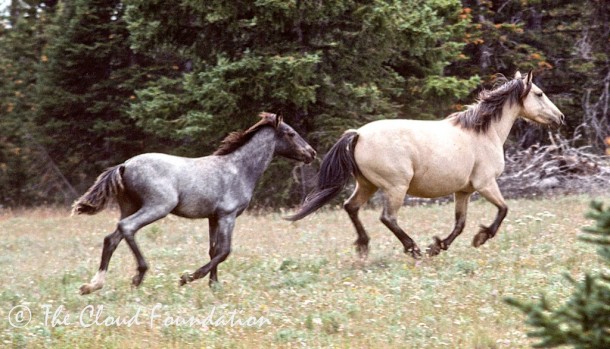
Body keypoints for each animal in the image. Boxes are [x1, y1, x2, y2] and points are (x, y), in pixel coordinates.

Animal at [73, 112, 316, 294]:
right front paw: (187, 277)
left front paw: (214, 285)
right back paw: (138, 276)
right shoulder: (228, 215)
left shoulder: (213, 217)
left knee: (111, 238)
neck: (238, 168)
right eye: (291, 133)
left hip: (129, 206)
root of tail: (124, 166)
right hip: (157, 207)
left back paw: (92, 285)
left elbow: (213, 250)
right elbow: (224, 251)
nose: (312, 153)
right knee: (127, 228)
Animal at [288, 71, 564, 258]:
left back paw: (364, 246)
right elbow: (503, 210)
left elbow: (460, 224)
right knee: (388, 218)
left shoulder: (463, 191)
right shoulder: (485, 184)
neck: (484, 133)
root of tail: (358, 134)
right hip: (395, 187)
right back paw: (413, 248)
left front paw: (438, 246)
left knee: (351, 207)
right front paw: (480, 238)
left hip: (366, 184)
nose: (560, 117)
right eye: (539, 94)